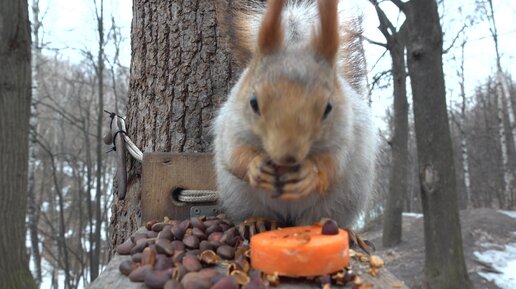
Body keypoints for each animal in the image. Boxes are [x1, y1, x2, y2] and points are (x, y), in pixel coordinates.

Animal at [212, 0, 376, 228]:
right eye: (253, 103)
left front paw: (311, 174)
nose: (287, 157)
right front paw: (254, 167)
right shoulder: (232, 125)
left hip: (345, 200)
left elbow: (334, 163)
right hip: (239, 198)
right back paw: (258, 221)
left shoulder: (346, 132)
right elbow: (234, 155)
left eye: (328, 108)